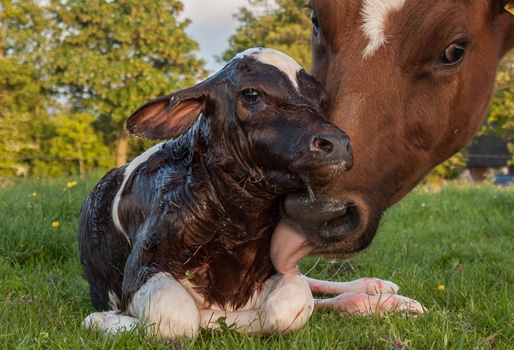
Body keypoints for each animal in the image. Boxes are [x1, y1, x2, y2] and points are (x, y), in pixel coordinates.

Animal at [78, 47, 352, 338]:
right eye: (251, 94)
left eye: (321, 99)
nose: (337, 143)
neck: (238, 223)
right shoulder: (143, 264)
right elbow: (178, 317)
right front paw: (103, 320)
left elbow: (292, 303)